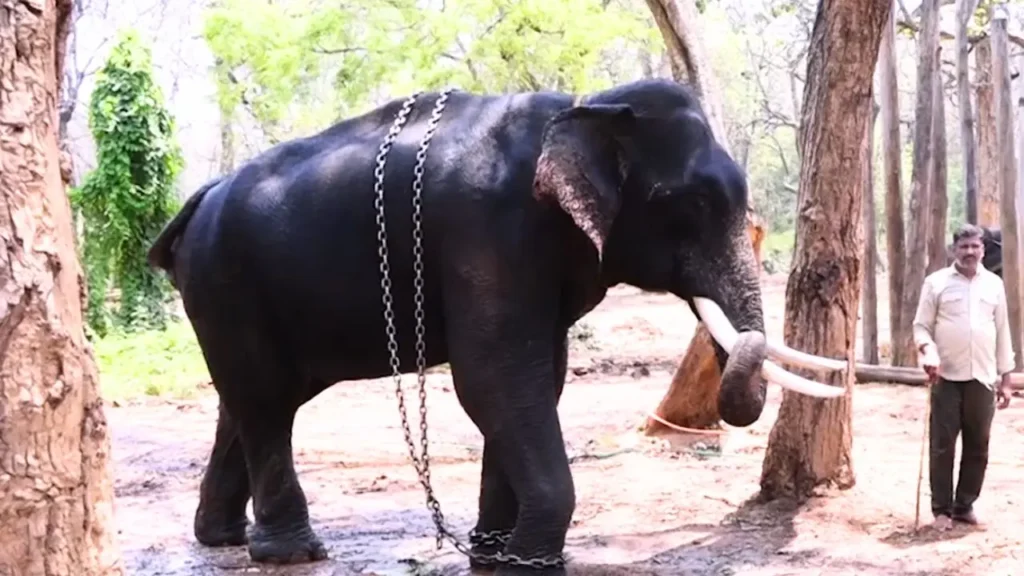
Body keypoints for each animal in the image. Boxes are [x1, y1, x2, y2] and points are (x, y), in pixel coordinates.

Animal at [146, 78, 843, 575]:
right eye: (690, 203)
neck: (584, 106)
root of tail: (198, 200)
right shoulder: (486, 231)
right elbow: (496, 378)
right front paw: (532, 559)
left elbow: (538, 379)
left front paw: (493, 553)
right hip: (225, 282)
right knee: (265, 402)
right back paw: (293, 553)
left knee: (243, 400)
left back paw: (223, 538)